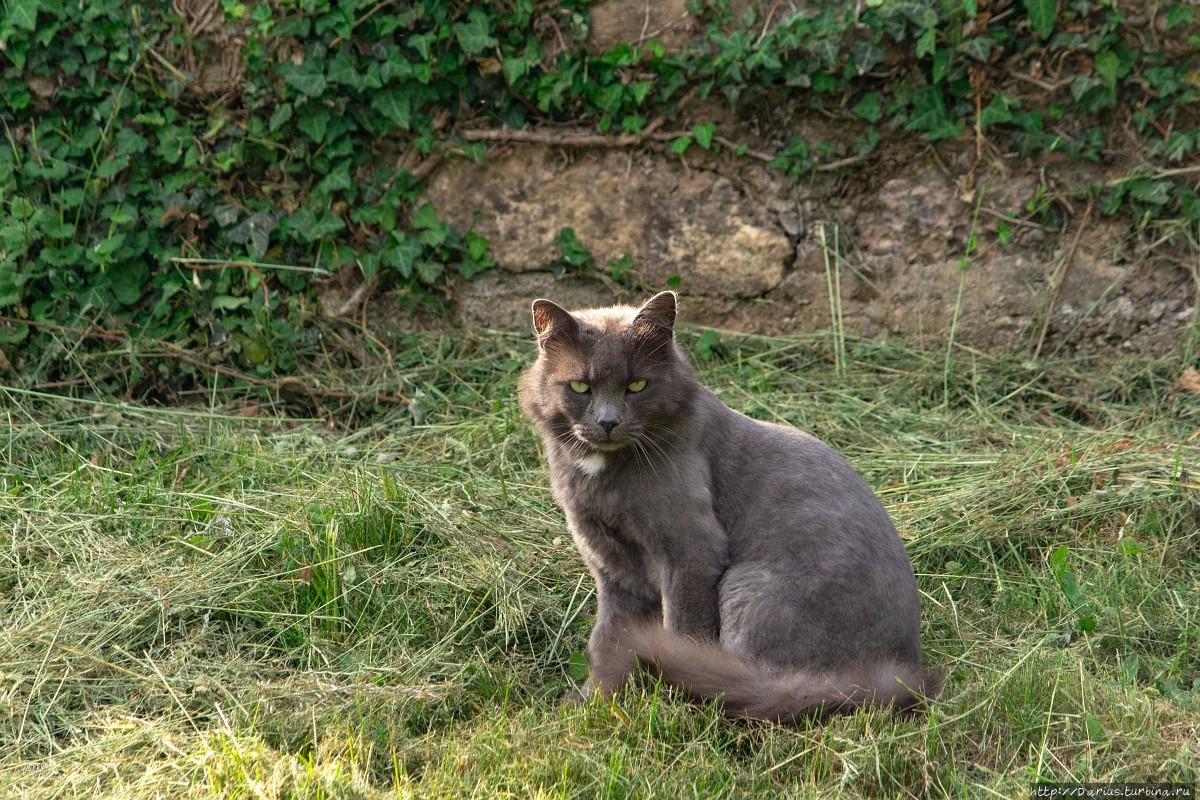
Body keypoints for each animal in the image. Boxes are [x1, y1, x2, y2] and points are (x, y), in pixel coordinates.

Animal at [520, 291, 940, 724]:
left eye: (636, 385)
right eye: (580, 386)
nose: (608, 422)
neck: (603, 476)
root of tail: (887, 675)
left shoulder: (691, 551)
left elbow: (681, 632)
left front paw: (671, 708)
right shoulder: (610, 563)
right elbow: (607, 639)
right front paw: (592, 704)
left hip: (747, 586)